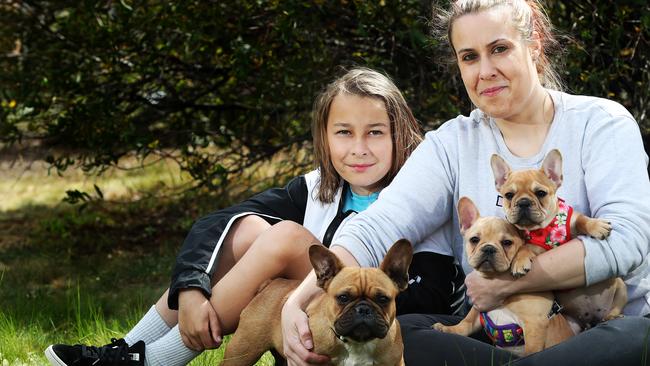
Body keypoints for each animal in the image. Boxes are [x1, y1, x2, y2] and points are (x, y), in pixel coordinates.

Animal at [218, 239, 410, 364]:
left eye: (383, 299)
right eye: (343, 298)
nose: (363, 309)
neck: (357, 344)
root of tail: (272, 283)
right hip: (242, 351)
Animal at [432, 199, 568, 356]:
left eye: (507, 243)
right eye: (474, 239)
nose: (489, 248)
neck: (493, 277)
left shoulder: (535, 324)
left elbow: (531, 352)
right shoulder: (478, 309)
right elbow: (467, 322)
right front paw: (450, 329)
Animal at [492, 147, 624, 330]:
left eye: (540, 193)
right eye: (509, 195)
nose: (523, 202)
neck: (544, 228)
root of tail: (593, 319)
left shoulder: (573, 220)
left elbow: (583, 219)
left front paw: (596, 225)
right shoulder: (533, 244)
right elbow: (524, 247)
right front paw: (520, 261)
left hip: (621, 286)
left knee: (617, 306)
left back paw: (612, 316)